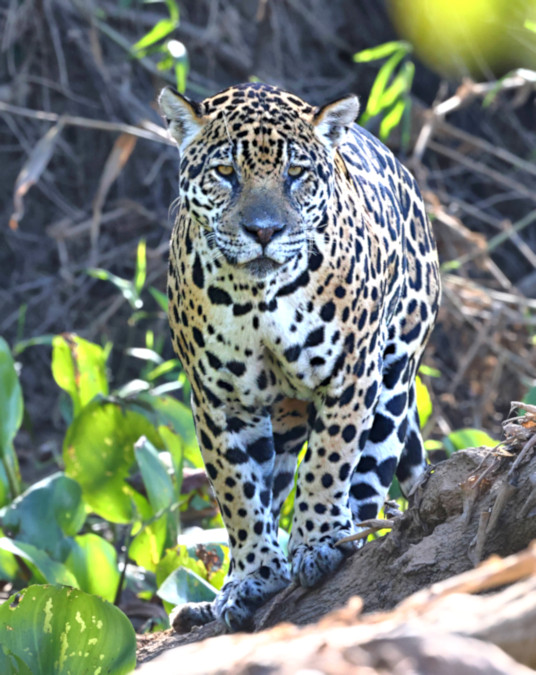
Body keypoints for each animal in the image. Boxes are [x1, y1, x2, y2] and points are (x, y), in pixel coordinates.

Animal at [159, 82, 441, 632]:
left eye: (295, 174)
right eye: (226, 172)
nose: (263, 231)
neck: (256, 297)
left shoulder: (351, 375)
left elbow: (329, 461)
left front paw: (316, 542)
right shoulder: (218, 398)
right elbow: (237, 491)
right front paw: (252, 576)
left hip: (395, 378)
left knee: (369, 475)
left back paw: (351, 536)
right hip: (281, 418)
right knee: (273, 479)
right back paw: (215, 597)